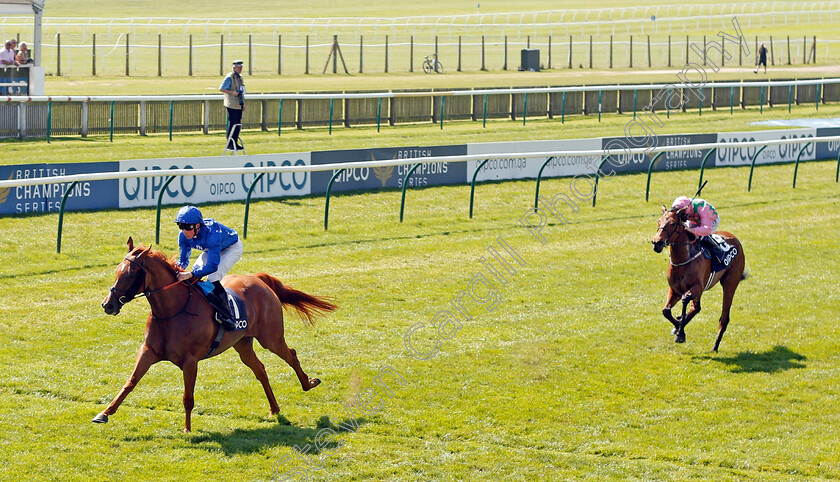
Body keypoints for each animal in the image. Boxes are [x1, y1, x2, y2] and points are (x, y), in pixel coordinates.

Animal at [96, 238, 338, 434]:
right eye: (117, 270)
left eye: (129, 274)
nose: (108, 305)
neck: (171, 311)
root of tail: (258, 279)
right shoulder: (148, 351)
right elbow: (130, 382)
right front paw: (105, 413)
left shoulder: (190, 361)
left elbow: (188, 397)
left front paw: (187, 428)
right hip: (242, 344)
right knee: (260, 369)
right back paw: (274, 408)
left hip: (271, 337)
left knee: (291, 354)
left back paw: (308, 383)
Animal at [652, 206, 744, 350]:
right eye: (659, 221)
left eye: (672, 223)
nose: (657, 243)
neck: (682, 260)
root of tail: (735, 239)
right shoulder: (674, 290)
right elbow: (666, 311)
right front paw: (678, 327)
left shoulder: (697, 288)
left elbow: (684, 300)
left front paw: (680, 333)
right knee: (696, 308)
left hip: (730, 283)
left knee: (724, 318)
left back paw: (714, 347)